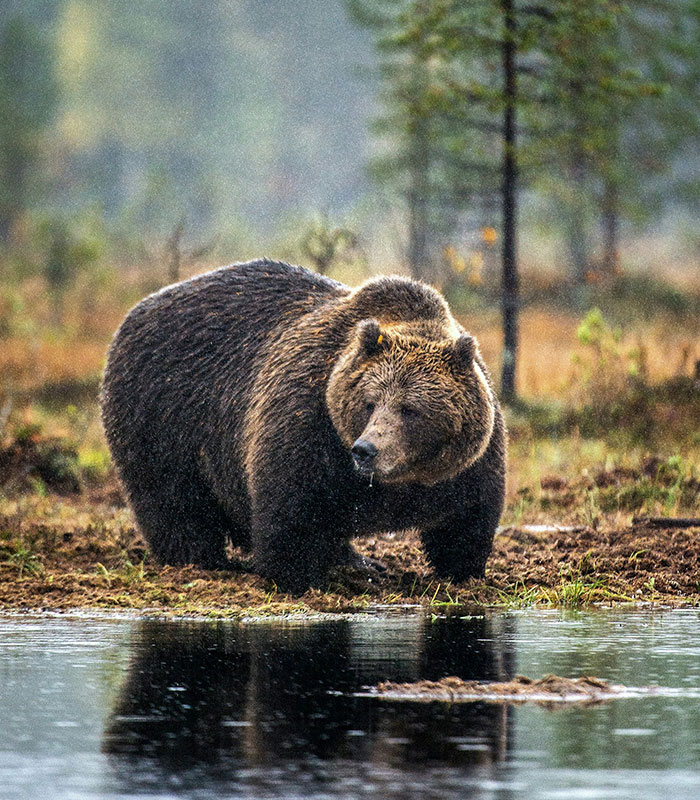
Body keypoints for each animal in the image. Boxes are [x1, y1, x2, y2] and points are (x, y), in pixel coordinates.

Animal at [100, 259, 506, 594]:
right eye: (370, 402)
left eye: (410, 409)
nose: (366, 450)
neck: (401, 481)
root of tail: (138, 309)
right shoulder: (308, 422)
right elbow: (291, 511)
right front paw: (296, 578)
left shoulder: (468, 466)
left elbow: (467, 522)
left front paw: (462, 573)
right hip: (163, 412)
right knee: (173, 500)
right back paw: (201, 562)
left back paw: (359, 561)